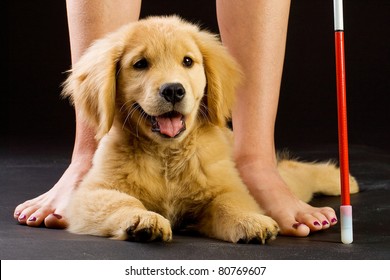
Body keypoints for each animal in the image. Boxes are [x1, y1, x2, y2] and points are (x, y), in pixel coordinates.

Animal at [62, 15, 358, 243]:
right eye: (140, 64)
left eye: (188, 61)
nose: (173, 90)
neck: (166, 156)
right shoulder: (90, 194)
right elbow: (123, 201)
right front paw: (144, 218)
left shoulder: (228, 187)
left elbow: (229, 203)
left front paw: (250, 220)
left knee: (294, 171)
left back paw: (341, 179)